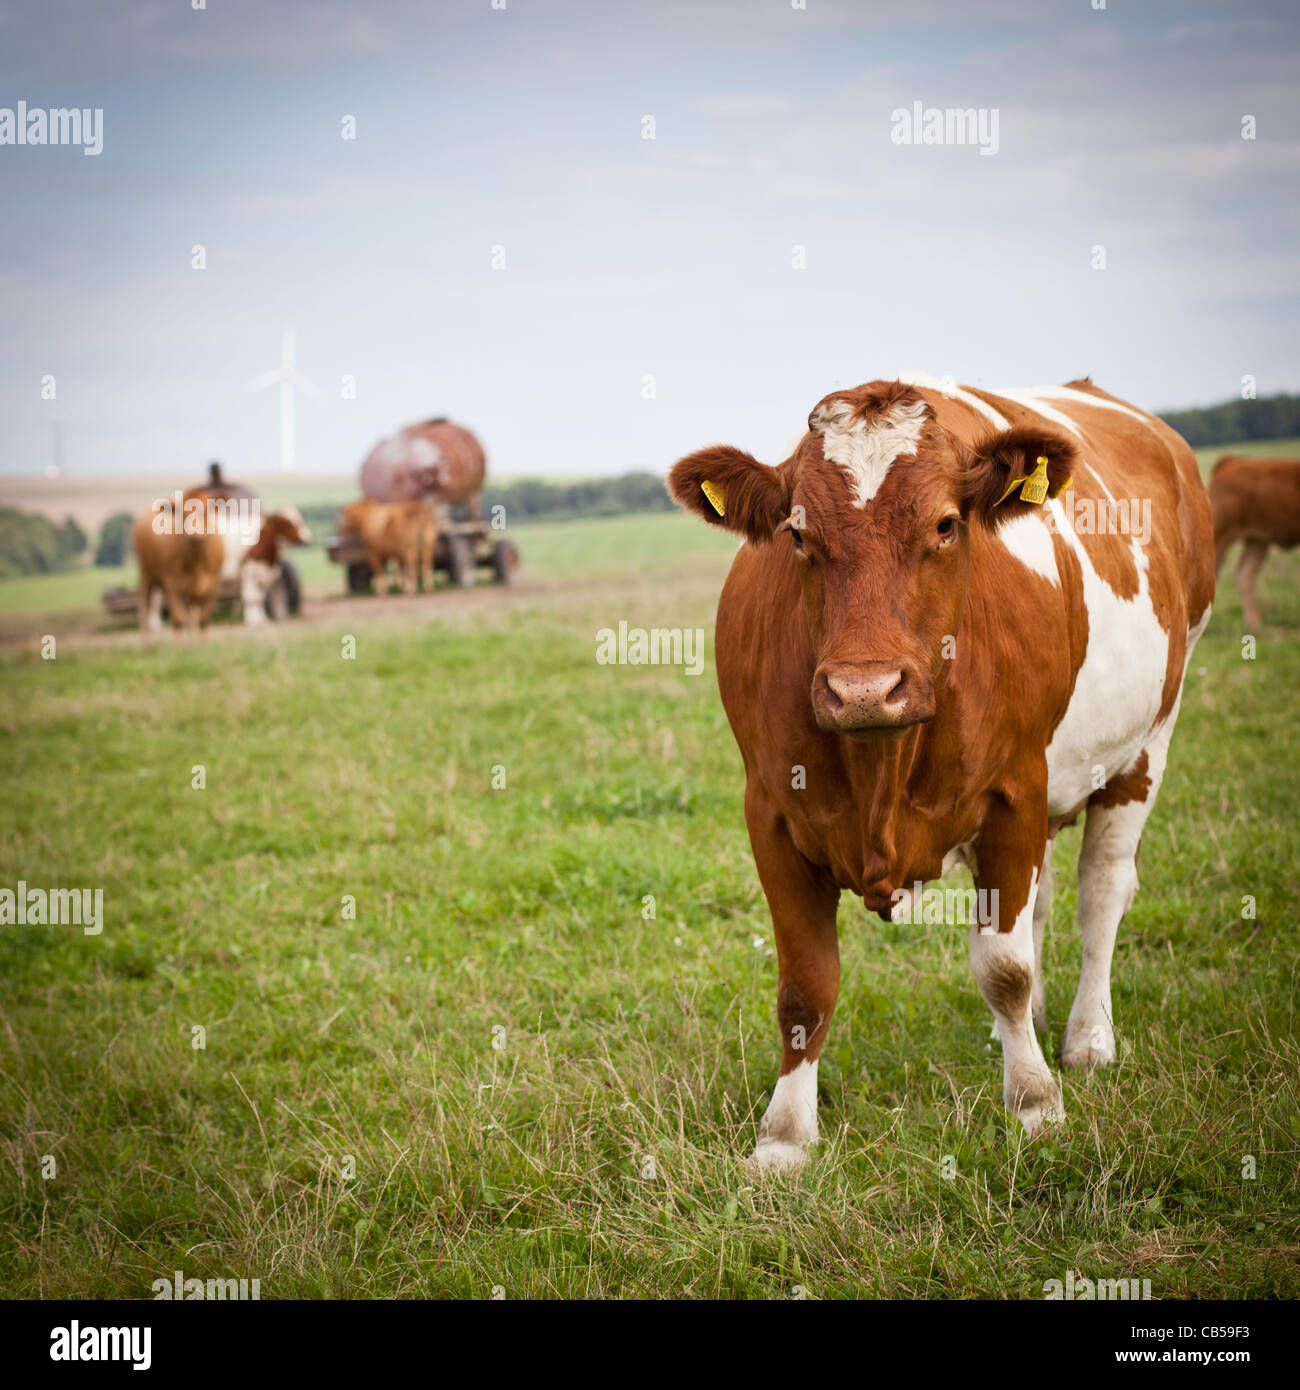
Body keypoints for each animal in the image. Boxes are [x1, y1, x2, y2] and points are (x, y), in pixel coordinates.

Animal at [667, 374, 1214, 1170]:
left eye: (948, 524)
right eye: (796, 533)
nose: (865, 689)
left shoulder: (1015, 793)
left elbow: (1004, 967)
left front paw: (1035, 1102)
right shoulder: (769, 813)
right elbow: (804, 988)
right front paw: (784, 1137)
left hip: (1148, 745)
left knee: (1102, 891)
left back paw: (1086, 1037)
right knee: (1043, 900)